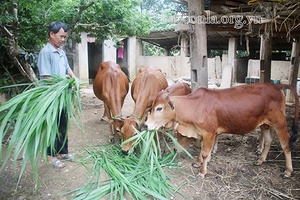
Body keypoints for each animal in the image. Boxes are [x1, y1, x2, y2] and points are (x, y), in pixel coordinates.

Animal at [144, 83, 298, 178]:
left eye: (159, 108)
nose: (146, 125)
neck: (195, 105)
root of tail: (276, 86)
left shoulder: (209, 133)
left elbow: (205, 152)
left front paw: (202, 171)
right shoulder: (204, 133)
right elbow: (203, 149)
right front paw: (198, 162)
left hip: (279, 122)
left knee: (286, 145)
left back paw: (288, 171)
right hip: (264, 124)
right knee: (268, 140)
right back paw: (260, 160)